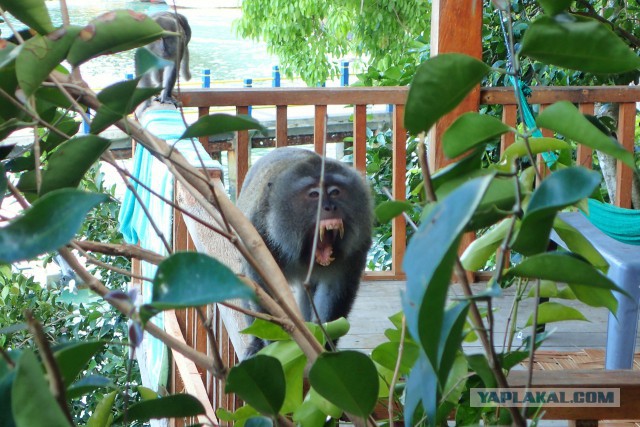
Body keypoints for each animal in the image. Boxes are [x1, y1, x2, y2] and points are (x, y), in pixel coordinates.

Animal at [238, 149, 372, 356]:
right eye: (314, 194)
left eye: (335, 192)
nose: (329, 206)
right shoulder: (257, 235)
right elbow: (262, 290)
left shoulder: (357, 245)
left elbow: (336, 287)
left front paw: (324, 344)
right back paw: (255, 343)